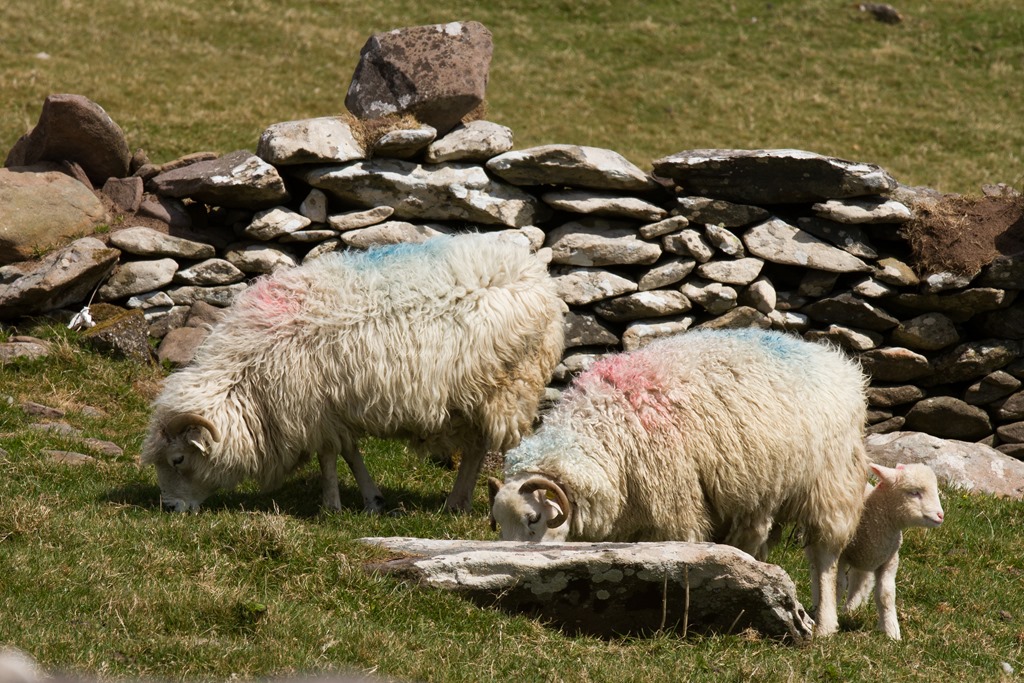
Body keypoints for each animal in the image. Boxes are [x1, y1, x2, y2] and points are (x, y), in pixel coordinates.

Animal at [140, 229, 565, 511]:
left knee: (488, 448)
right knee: (476, 447)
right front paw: (371, 499)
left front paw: (331, 506)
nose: (169, 508)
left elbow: (329, 458)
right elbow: (349, 452)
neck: (248, 369)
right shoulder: (333, 405)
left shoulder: (311, 406)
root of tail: (536, 274)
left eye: (178, 460)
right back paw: (455, 503)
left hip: (506, 388)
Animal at [485, 327, 864, 638]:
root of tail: (835, 359)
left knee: (824, 558)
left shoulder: (675, 505)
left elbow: (677, 560)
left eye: (534, 519)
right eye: (498, 524)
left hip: (830, 483)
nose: (516, 571)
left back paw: (826, 623)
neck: (602, 426)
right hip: (758, 491)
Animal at [839, 462, 942, 638]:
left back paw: (851, 609)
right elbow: (838, 584)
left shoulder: (890, 560)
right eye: (914, 493)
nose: (941, 515)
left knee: (860, 579)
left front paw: (892, 631)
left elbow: (886, 595)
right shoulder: (840, 555)